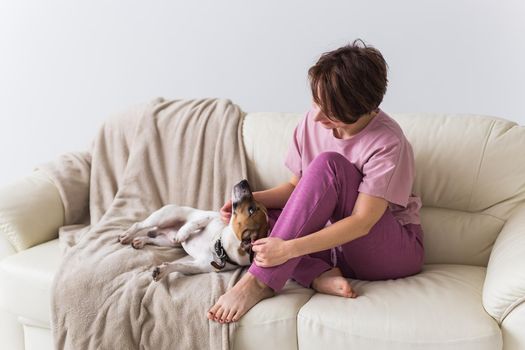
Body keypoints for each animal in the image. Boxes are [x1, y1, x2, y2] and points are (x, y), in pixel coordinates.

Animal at [117, 180, 268, 282]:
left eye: (251, 210)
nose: (245, 181)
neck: (220, 246)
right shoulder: (211, 218)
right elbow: (196, 223)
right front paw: (182, 234)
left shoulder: (199, 266)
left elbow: (179, 266)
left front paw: (163, 270)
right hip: (162, 218)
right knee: (139, 225)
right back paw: (126, 235)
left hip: (166, 242)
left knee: (152, 238)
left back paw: (140, 241)